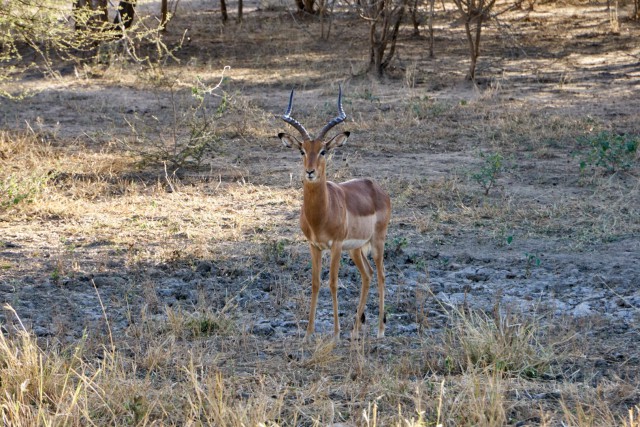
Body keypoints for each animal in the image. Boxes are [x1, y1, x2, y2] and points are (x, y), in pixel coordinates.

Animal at [278, 87, 392, 342]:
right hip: (357, 249)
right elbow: (315, 283)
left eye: (323, 151)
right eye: (302, 150)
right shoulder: (314, 246)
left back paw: (380, 330)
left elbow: (332, 283)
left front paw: (336, 333)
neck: (320, 215)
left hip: (376, 242)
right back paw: (356, 330)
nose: (310, 172)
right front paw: (309, 333)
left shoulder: (336, 245)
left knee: (381, 275)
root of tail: (377, 188)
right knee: (368, 275)